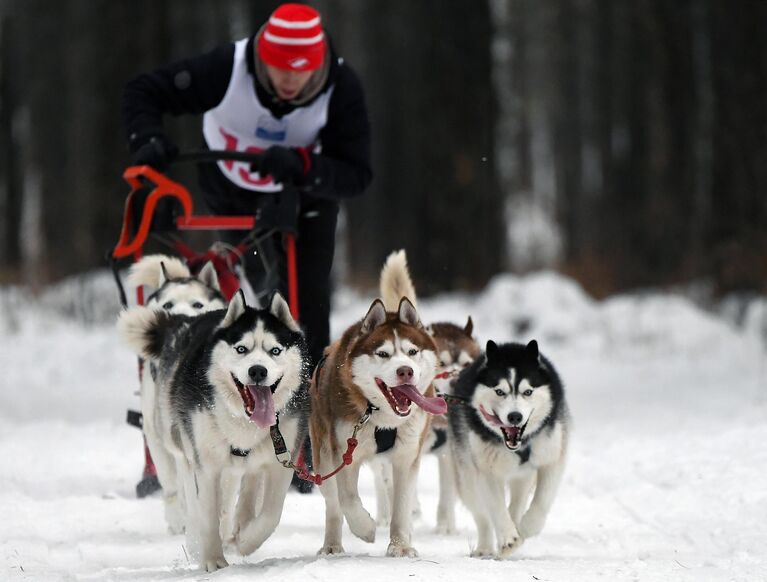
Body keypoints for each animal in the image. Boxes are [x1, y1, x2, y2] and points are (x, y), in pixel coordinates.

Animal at [118, 290, 308, 572]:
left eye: (275, 350)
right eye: (241, 349)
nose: (257, 370)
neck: (245, 422)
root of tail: (187, 320)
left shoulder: (281, 460)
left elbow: (270, 514)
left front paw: (246, 540)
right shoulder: (205, 464)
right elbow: (206, 513)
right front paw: (212, 560)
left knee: (243, 494)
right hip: (183, 449)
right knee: (192, 500)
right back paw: (198, 540)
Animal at [308, 251, 448, 560]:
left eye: (412, 351)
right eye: (383, 354)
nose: (405, 371)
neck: (383, 418)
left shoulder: (407, 456)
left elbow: (401, 505)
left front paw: (400, 545)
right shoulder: (344, 452)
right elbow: (348, 498)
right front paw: (365, 528)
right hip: (323, 455)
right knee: (333, 504)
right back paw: (332, 544)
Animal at [448, 340, 568, 560]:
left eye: (528, 392)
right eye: (499, 391)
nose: (515, 416)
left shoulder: (551, 458)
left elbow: (542, 501)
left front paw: (527, 527)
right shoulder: (486, 471)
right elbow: (495, 508)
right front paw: (508, 538)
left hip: (523, 476)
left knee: (517, 503)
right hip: (467, 478)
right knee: (482, 515)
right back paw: (487, 547)